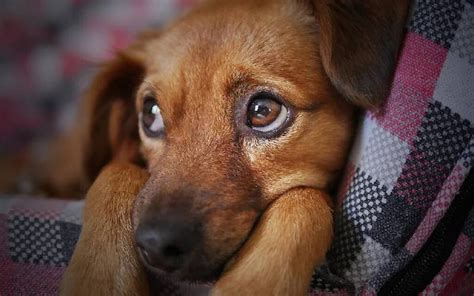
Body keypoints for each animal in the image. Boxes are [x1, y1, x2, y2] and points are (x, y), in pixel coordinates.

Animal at [58, 1, 408, 294]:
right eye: (151, 114)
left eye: (263, 111)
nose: (156, 245)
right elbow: (115, 170)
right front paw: (99, 278)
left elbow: (304, 199)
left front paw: (252, 282)